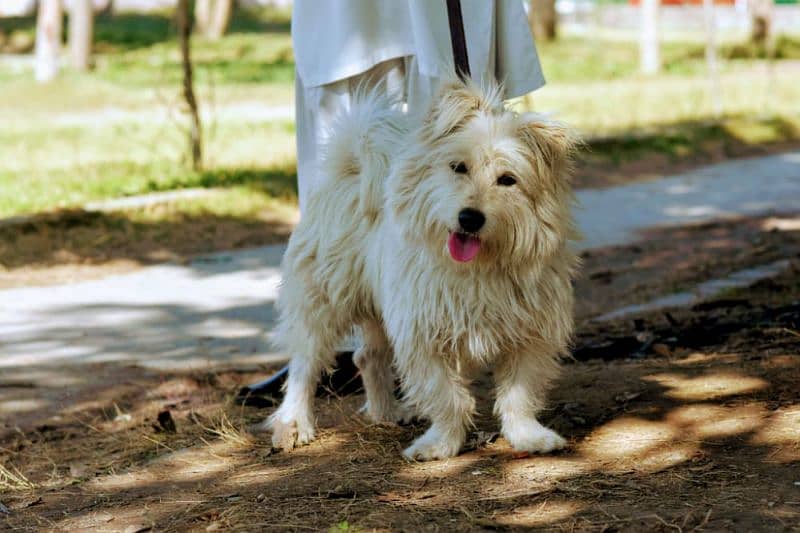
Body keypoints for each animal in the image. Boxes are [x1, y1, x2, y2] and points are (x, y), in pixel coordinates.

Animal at [264, 77, 580, 460]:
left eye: (507, 179)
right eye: (458, 167)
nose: (470, 218)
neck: (478, 269)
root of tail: (351, 165)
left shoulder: (531, 335)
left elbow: (519, 394)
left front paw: (528, 436)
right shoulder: (423, 336)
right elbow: (446, 397)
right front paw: (440, 444)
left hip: (380, 311)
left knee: (367, 357)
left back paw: (386, 412)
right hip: (323, 301)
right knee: (304, 366)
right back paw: (293, 424)